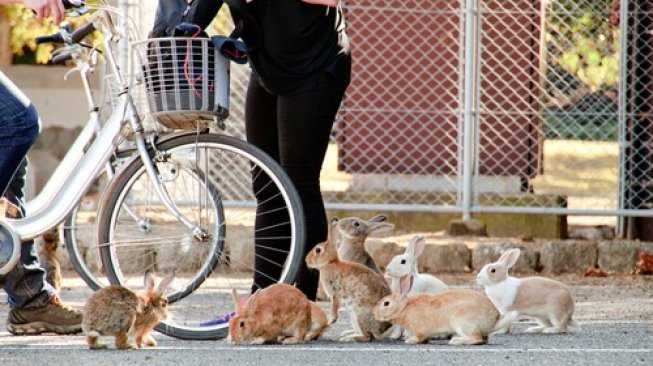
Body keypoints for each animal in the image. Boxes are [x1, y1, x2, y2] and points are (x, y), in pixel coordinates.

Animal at [372, 276, 500, 344]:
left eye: (386, 303)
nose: (375, 314)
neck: (404, 308)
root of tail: (494, 317)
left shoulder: (420, 329)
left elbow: (419, 336)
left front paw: (410, 340)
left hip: (461, 322)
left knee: (476, 338)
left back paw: (456, 341)